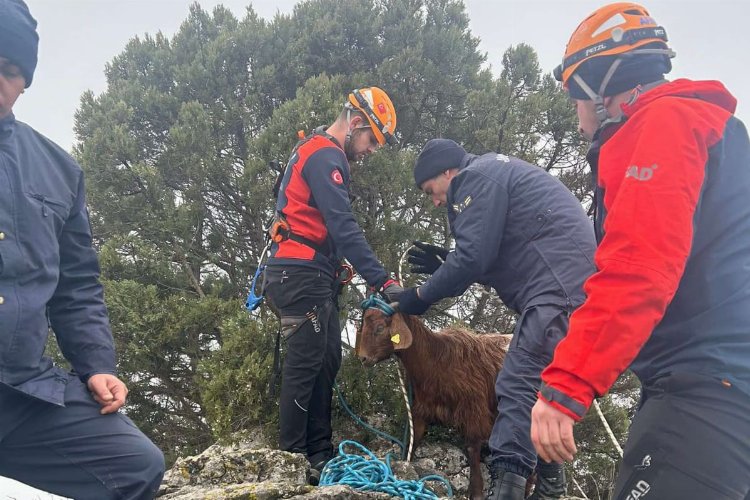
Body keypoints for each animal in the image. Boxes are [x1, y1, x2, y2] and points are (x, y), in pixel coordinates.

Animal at [356, 308, 512, 500]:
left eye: (379, 328)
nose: (363, 358)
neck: (437, 362)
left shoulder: (474, 411)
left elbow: (472, 448)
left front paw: (476, 492)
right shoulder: (421, 408)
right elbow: (414, 438)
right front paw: (404, 468)